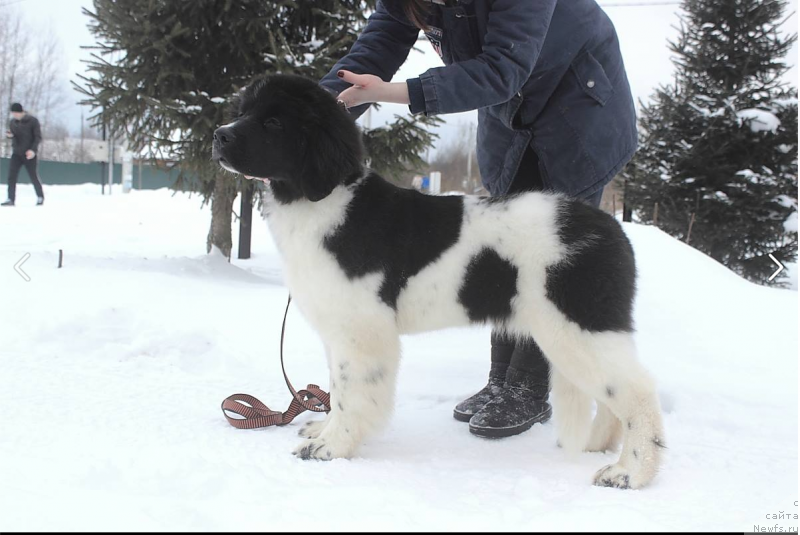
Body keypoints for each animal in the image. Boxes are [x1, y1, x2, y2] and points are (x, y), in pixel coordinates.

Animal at [211, 74, 664, 490]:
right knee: (614, 398)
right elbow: (337, 390)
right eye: (243, 111)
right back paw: (598, 446)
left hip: (577, 327)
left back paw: (629, 472)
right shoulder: (338, 327)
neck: (326, 201)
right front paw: (321, 430)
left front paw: (331, 447)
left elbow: (351, 392)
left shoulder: (362, 330)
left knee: (639, 393)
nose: (219, 135)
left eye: (273, 122)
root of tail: (612, 227)